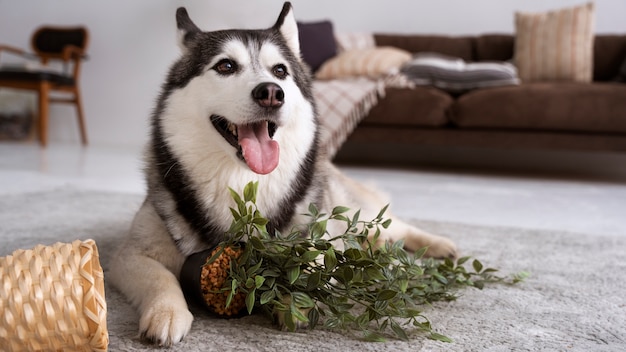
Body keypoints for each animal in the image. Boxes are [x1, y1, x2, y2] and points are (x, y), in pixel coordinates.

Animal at [109, 2, 454, 346]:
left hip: (352, 207)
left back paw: (439, 245)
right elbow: (161, 277)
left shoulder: (319, 238)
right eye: (225, 66)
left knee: (394, 223)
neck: (239, 182)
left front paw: (295, 301)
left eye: (280, 71)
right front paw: (166, 312)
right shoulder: (131, 254)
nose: (271, 92)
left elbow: (310, 264)